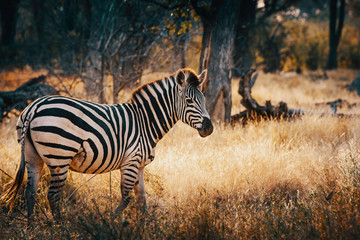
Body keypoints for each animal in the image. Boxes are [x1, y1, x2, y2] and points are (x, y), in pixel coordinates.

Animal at [0, 67, 214, 221]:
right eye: (189, 100)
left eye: (203, 99)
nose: (209, 128)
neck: (145, 121)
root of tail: (34, 107)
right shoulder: (131, 162)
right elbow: (126, 198)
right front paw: (111, 222)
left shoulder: (140, 165)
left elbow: (142, 200)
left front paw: (145, 228)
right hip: (59, 157)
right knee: (52, 195)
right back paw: (60, 228)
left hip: (32, 156)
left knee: (30, 192)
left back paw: (31, 226)